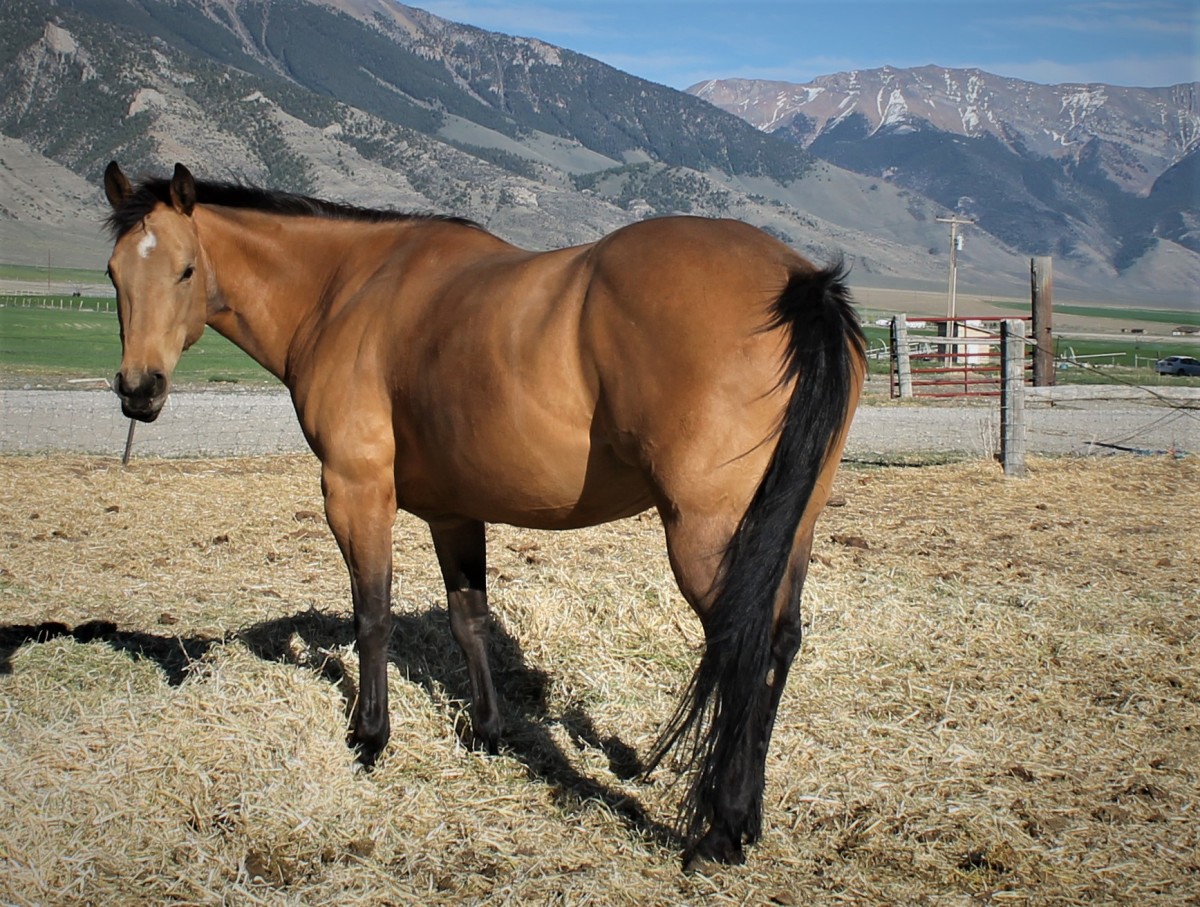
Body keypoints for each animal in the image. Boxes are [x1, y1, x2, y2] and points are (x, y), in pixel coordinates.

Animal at [100, 159, 864, 868]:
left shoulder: (354, 491)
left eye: (186, 269)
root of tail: (799, 281)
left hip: (708, 540)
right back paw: (749, 817)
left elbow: (372, 616)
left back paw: (720, 832)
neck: (348, 287)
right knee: (781, 643)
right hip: (788, 531)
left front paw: (370, 737)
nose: (138, 390)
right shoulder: (453, 513)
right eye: (113, 274)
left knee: (743, 646)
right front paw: (489, 729)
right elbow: (469, 618)